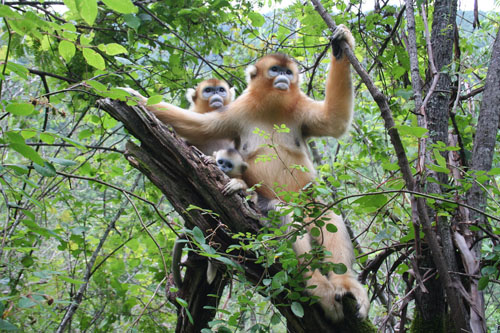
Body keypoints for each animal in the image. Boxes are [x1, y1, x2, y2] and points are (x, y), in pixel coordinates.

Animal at [125, 24, 368, 320]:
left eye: (288, 72)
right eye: (275, 70)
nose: (283, 78)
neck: (273, 105)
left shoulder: (300, 108)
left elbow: (335, 120)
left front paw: (340, 43)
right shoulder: (238, 110)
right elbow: (200, 127)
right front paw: (133, 96)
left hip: (305, 200)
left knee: (324, 214)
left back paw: (345, 285)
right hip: (271, 207)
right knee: (284, 214)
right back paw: (318, 286)